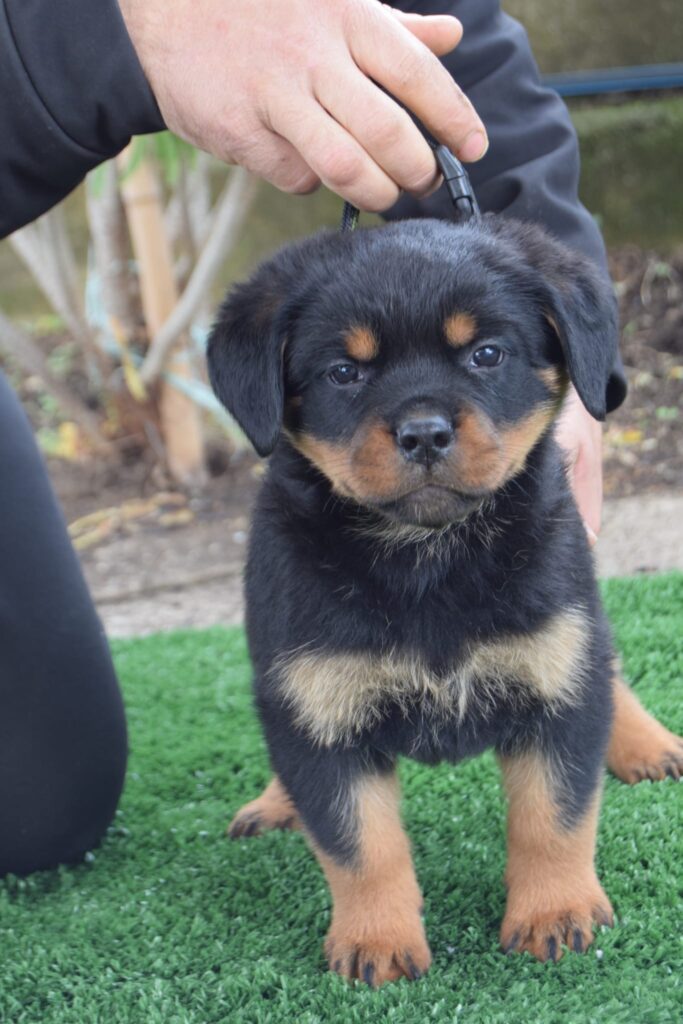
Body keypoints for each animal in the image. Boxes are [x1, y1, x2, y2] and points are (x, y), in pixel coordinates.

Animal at [208, 216, 683, 983]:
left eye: (486, 354)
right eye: (344, 372)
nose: (424, 432)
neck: (428, 559)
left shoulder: (554, 667)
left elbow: (554, 815)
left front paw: (554, 913)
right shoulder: (317, 700)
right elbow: (358, 842)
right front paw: (376, 940)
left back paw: (647, 743)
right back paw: (275, 803)